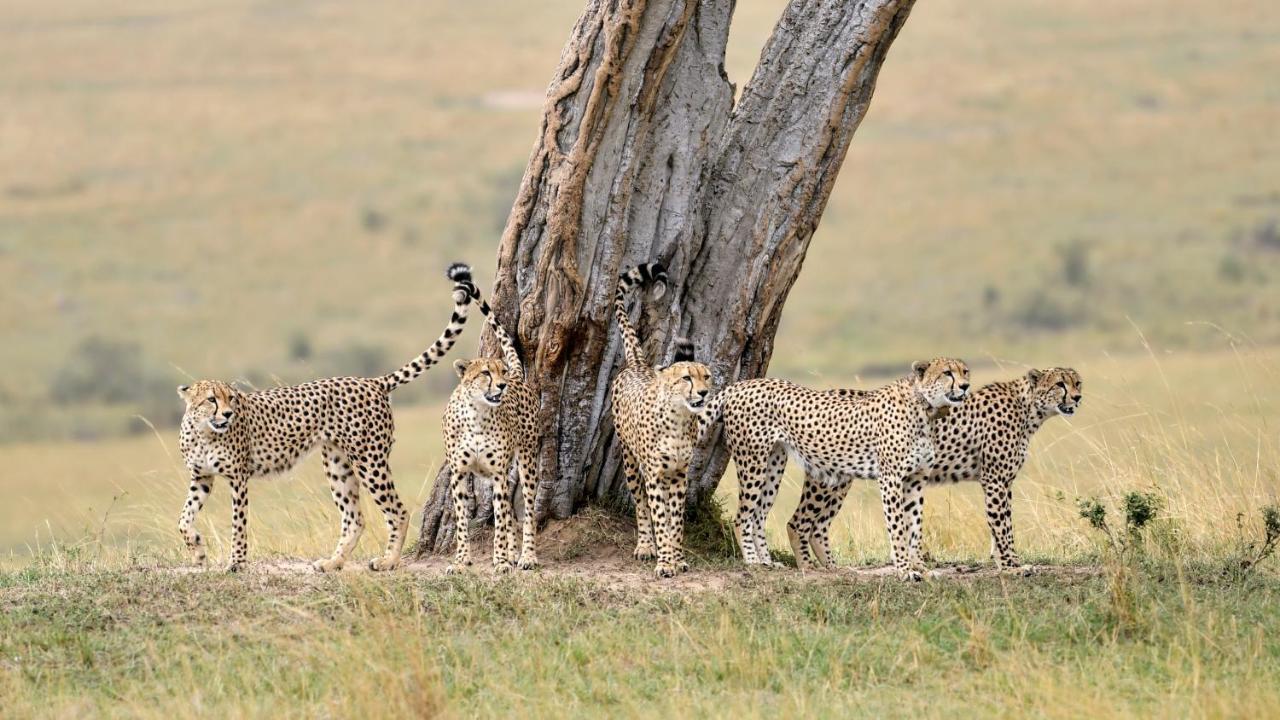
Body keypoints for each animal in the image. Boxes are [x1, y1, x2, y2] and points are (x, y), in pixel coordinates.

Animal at [177, 260, 478, 568]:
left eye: (232, 399)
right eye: (211, 399)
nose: (226, 414)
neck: (204, 432)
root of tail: (372, 381)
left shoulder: (237, 478)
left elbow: (238, 523)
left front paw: (236, 562)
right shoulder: (201, 477)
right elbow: (183, 519)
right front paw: (198, 550)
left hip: (369, 460)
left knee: (397, 510)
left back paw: (389, 561)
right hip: (338, 464)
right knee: (355, 518)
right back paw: (333, 562)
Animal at [442, 280, 542, 571]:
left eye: (501, 370)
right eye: (486, 372)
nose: (502, 384)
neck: (477, 416)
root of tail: (520, 379)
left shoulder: (498, 474)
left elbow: (499, 522)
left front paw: (500, 561)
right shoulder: (459, 474)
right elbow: (463, 522)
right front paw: (461, 561)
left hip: (527, 461)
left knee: (527, 510)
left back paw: (526, 556)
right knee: (509, 511)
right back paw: (513, 553)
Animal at [606, 263, 711, 576]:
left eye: (706, 376)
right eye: (686, 378)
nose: (704, 392)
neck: (679, 419)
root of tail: (639, 365)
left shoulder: (679, 475)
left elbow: (675, 521)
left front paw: (677, 558)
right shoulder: (654, 474)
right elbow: (661, 519)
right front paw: (665, 561)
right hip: (630, 460)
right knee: (641, 504)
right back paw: (645, 546)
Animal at [701, 356, 967, 576]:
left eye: (964, 371)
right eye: (947, 373)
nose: (965, 386)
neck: (925, 409)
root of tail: (741, 385)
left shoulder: (916, 480)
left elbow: (915, 525)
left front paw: (919, 567)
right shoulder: (891, 479)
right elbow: (898, 527)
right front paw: (905, 570)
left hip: (774, 465)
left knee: (759, 515)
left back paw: (768, 561)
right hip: (753, 461)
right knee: (744, 517)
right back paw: (753, 561)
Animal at [788, 366, 1080, 568]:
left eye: (1077, 382)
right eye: (1060, 384)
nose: (1077, 397)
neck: (1029, 409)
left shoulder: (1004, 481)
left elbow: (1002, 524)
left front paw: (1002, 561)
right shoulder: (995, 480)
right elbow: (1003, 524)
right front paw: (1012, 566)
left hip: (839, 478)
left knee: (818, 526)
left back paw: (833, 569)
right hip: (829, 478)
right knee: (799, 522)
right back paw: (811, 569)